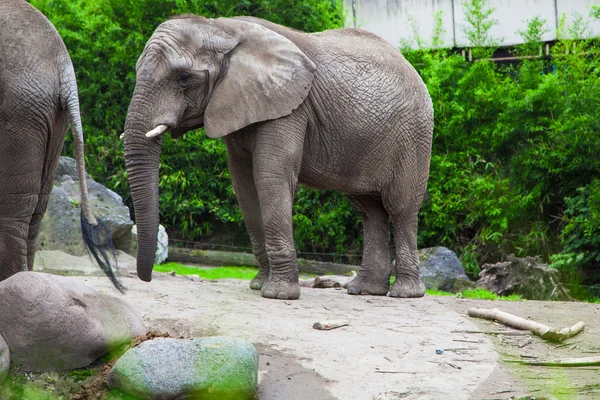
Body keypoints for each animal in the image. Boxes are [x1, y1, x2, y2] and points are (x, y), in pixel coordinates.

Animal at [123, 14, 432, 300]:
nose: (147, 278)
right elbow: (245, 187)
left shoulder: (289, 107)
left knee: (400, 207)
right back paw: (365, 290)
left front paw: (278, 294)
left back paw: (404, 293)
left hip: (413, 135)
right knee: (369, 209)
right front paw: (259, 285)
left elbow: (270, 177)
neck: (221, 28)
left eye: (184, 78)